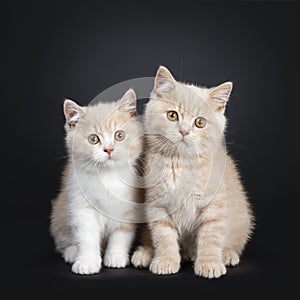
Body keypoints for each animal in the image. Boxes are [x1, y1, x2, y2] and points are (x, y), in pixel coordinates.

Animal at [50, 88, 143, 274]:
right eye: (93, 139)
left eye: (119, 135)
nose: (108, 149)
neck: (107, 177)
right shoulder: (81, 206)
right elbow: (86, 236)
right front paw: (87, 261)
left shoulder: (129, 208)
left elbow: (121, 234)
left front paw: (115, 256)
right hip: (60, 212)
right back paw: (72, 252)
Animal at [131, 67, 253, 278]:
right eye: (173, 116)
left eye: (200, 122)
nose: (184, 131)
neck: (181, 164)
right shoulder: (157, 204)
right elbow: (163, 236)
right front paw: (165, 260)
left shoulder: (214, 206)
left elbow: (211, 236)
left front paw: (210, 263)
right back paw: (144, 254)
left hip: (242, 219)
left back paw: (227, 254)